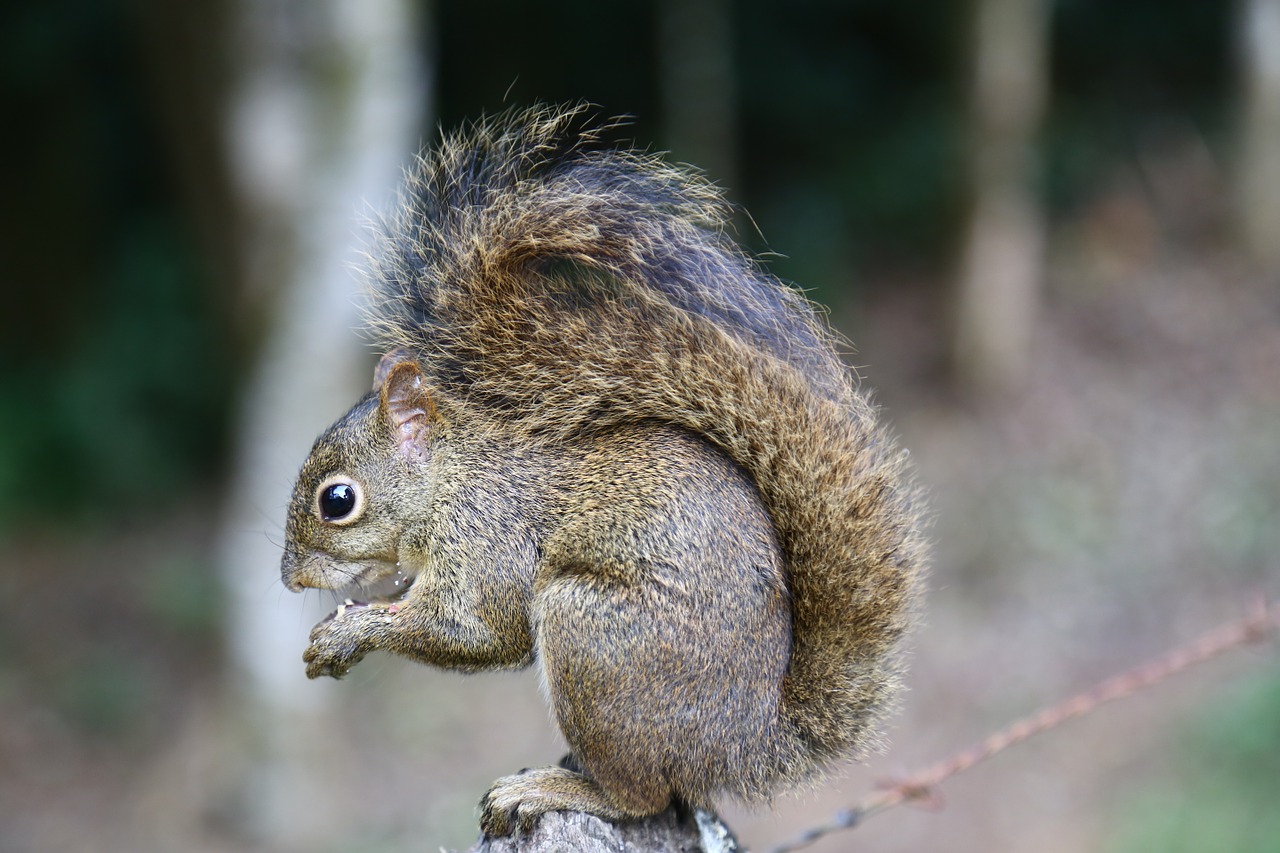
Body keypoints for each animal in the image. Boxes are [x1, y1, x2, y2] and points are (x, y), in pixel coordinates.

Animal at [280, 103, 926, 835]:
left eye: (338, 500)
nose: (291, 577)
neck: (453, 479)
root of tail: (743, 744)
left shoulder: (489, 536)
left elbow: (479, 629)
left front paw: (348, 632)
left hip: (594, 637)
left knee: (642, 795)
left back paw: (550, 790)